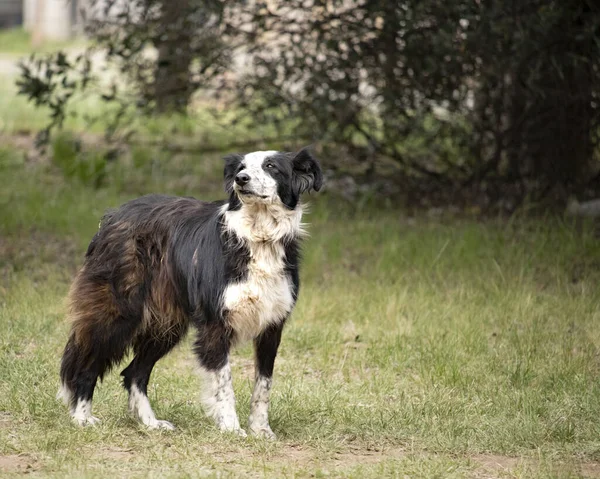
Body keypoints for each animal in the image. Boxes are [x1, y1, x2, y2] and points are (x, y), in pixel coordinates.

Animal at [57, 147, 324, 438]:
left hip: (165, 325)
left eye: (271, 166)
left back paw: (150, 422)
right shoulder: (215, 324)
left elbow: (263, 384)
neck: (258, 236)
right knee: (88, 363)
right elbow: (224, 383)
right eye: (241, 167)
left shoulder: (272, 326)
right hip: (119, 313)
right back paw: (82, 417)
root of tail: (113, 216)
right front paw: (231, 428)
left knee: (134, 373)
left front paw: (261, 430)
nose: (240, 180)